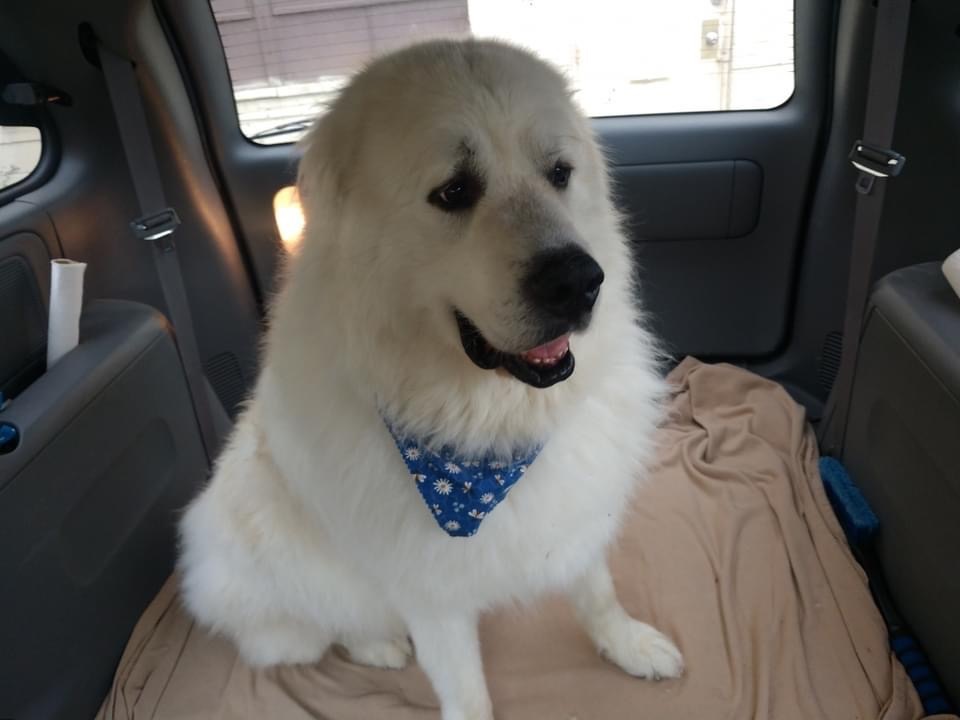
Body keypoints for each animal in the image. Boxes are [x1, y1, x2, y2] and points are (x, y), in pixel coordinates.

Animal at [178, 38, 676, 720]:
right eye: (454, 190)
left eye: (559, 173)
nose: (578, 282)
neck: (485, 434)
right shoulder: (429, 591)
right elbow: (464, 691)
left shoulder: (574, 516)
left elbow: (596, 592)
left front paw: (629, 645)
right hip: (281, 584)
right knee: (320, 629)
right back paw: (377, 645)